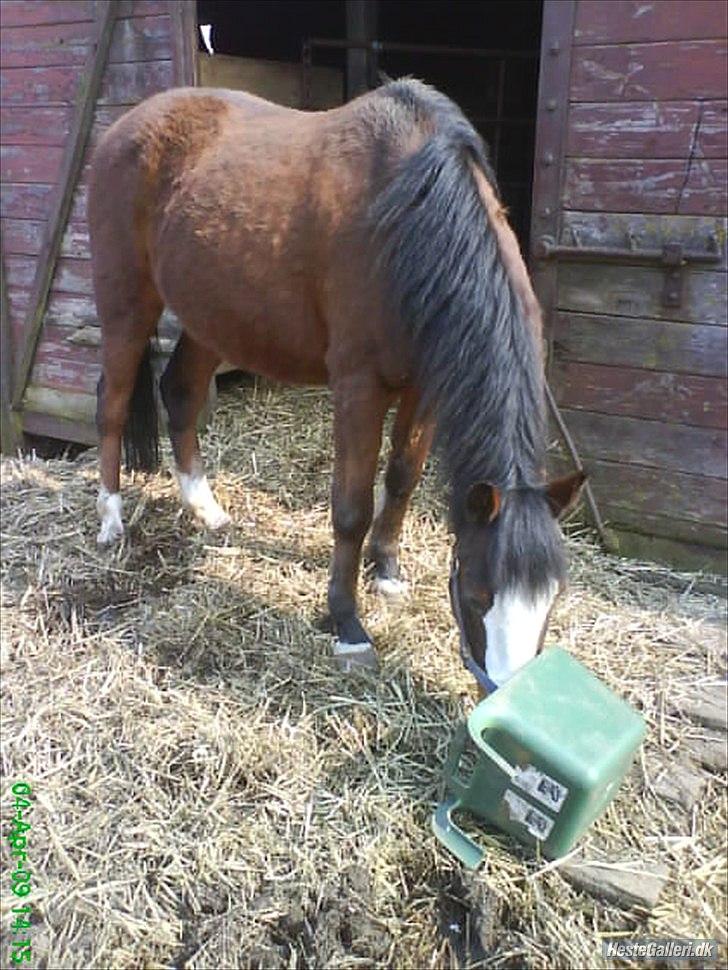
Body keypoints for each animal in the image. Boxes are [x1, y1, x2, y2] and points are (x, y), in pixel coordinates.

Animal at [89, 78, 585, 688]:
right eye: (475, 594)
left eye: (552, 599)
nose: (506, 691)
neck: (408, 220)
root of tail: (124, 127)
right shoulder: (358, 387)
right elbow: (351, 509)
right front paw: (346, 622)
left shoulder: (423, 388)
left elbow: (402, 479)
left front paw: (388, 571)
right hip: (126, 304)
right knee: (111, 404)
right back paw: (111, 519)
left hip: (213, 317)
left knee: (180, 393)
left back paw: (206, 510)